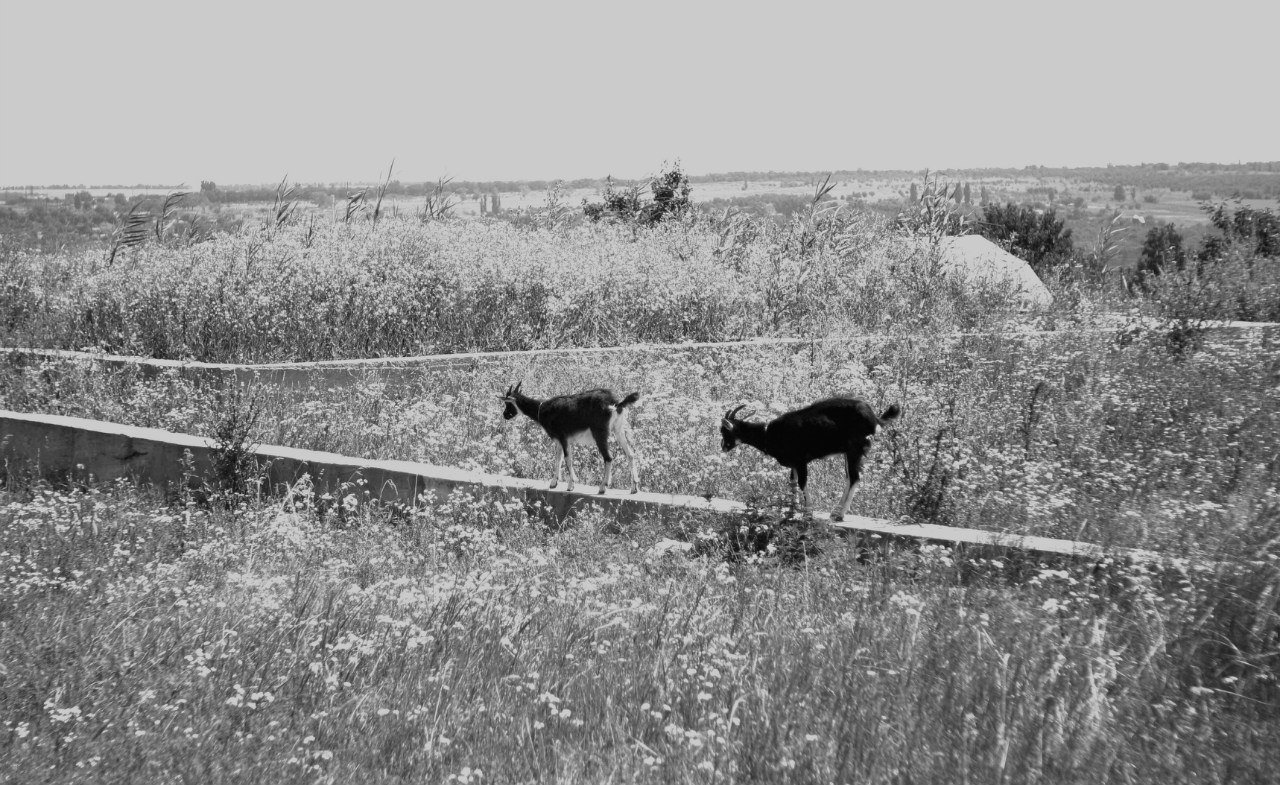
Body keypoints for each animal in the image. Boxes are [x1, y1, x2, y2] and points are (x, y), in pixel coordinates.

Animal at [499, 381, 640, 496]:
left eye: (507, 403)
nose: (505, 415)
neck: (542, 409)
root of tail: (615, 403)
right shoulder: (558, 440)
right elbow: (558, 459)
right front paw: (553, 483)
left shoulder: (563, 437)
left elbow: (567, 459)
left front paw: (571, 484)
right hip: (619, 430)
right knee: (631, 455)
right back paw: (634, 488)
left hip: (600, 433)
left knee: (608, 458)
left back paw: (602, 487)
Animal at [721, 396, 901, 519]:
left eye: (725, 431)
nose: (723, 447)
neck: (768, 433)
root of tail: (874, 417)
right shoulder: (793, 463)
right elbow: (792, 483)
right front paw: (792, 510)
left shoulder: (801, 461)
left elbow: (802, 483)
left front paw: (808, 512)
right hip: (848, 452)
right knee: (849, 478)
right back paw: (835, 511)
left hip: (854, 449)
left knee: (855, 478)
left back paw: (840, 514)